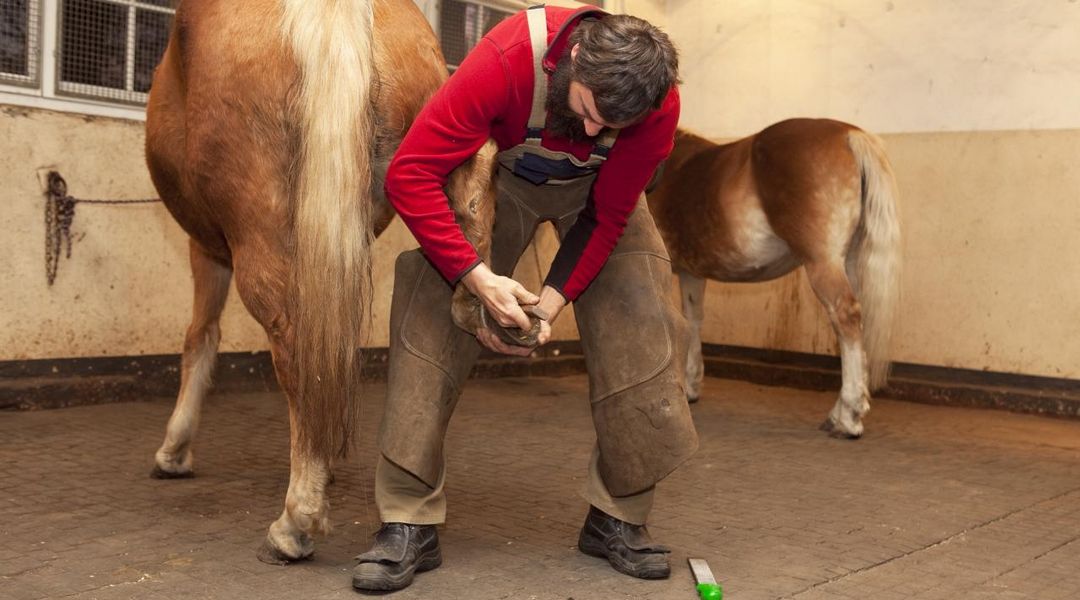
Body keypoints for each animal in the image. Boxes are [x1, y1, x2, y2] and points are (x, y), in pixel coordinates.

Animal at [144, 0, 496, 561]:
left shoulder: (208, 247)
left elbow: (200, 337)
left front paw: (174, 452)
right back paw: (471, 304)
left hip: (258, 229)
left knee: (295, 346)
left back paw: (295, 523)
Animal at [648, 119, 902, 438]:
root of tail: (848, 134)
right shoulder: (691, 273)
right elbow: (692, 320)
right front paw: (690, 386)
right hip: (850, 262)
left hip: (823, 263)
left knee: (846, 318)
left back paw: (848, 417)